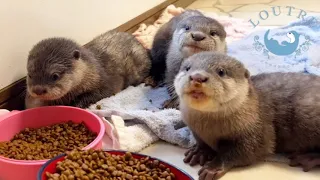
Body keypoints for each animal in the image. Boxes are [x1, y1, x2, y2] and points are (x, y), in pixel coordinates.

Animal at [174, 51, 320, 180]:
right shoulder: (195, 129)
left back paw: (308, 158)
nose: (197, 77)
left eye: (221, 71)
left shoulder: (258, 132)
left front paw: (213, 167)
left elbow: (246, 151)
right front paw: (199, 152)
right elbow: (201, 141)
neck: (209, 130)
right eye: (187, 68)